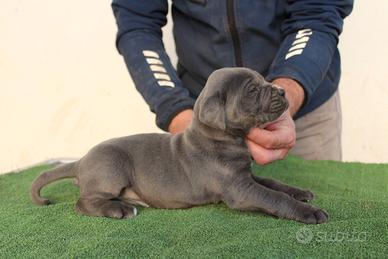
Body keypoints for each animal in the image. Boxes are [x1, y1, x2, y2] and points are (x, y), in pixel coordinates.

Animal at [31, 68, 328, 224]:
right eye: (252, 90)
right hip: (112, 167)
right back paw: (118, 209)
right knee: (83, 203)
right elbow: (273, 197)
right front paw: (310, 212)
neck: (220, 138)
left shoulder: (247, 176)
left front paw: (300, 192)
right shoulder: (239, 189)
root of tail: (82, 160)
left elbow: (274, 184)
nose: (282, 91)